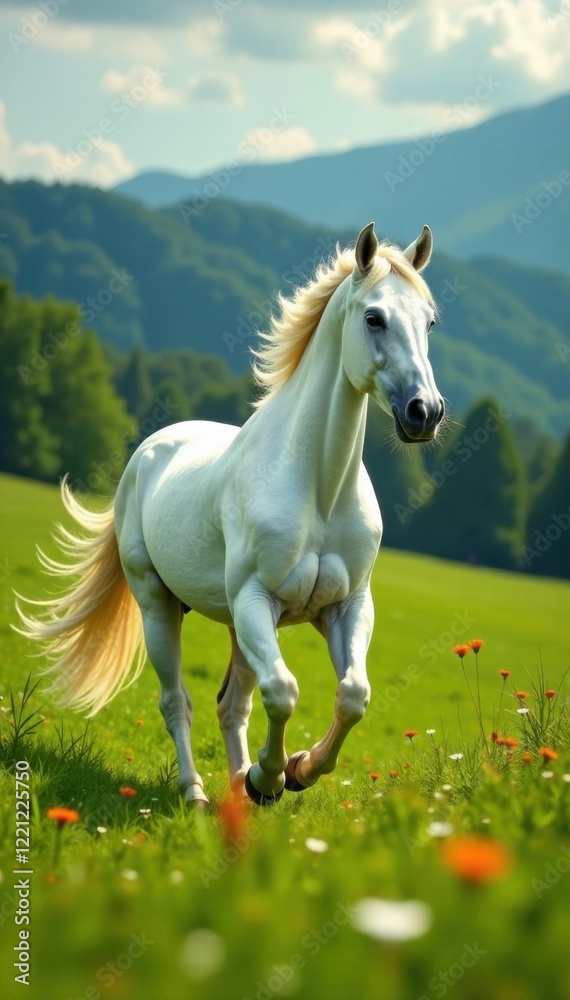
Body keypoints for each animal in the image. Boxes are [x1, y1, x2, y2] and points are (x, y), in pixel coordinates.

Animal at [15, 222, 445, 808]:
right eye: (374, 317)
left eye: (430, 321)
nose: (425, 413)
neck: (318, 491)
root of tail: (146, 453)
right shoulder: (254, 599)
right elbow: (283, 691)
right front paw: (272, 778)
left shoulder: (347, 605)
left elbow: (353, 695)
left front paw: (297, 770)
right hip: (161, 606)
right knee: (179, 701)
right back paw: (197, 792)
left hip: (240, 627)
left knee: (232, 704)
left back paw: (240, 787)